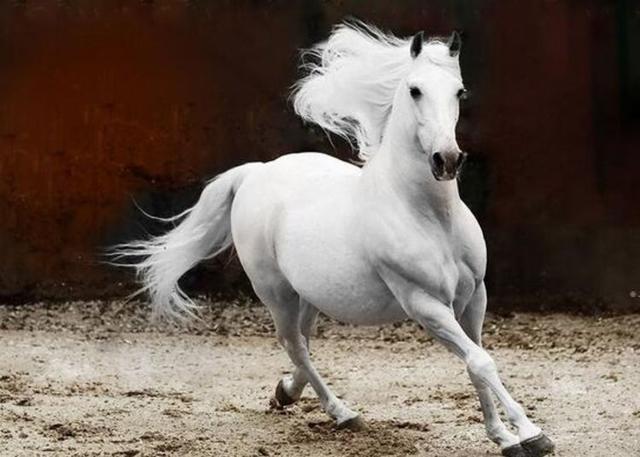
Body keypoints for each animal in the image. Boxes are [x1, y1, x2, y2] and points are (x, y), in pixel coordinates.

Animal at [111, 22, 555, 457]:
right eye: (415, 90)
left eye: (459, 92)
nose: (446, 160)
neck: (427, 216)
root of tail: (255, 172)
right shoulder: (425, 303)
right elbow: (480, 362)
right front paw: (532, 434)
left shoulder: (473, 296)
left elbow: (477, 360)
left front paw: (503, 436)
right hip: (275, 291)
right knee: (293, 343)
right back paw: (342, 412)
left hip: (308, 293)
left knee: (302, 344)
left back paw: (287, 393)